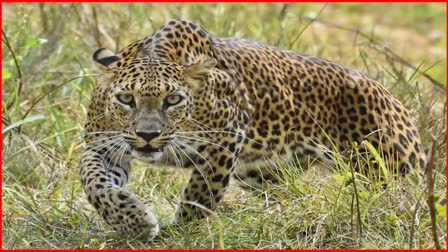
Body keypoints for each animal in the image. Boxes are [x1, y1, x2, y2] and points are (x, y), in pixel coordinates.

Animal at [79, 18, 426, 237]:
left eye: (173, 99)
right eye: (126, 99)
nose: (148, 135)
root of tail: (393, 97)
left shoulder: (225, 140)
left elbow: (200, 195)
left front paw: (180, 232)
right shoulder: (102, 146)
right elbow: (94, 183)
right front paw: (134, 221)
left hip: (393, 170)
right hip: (262, 173)